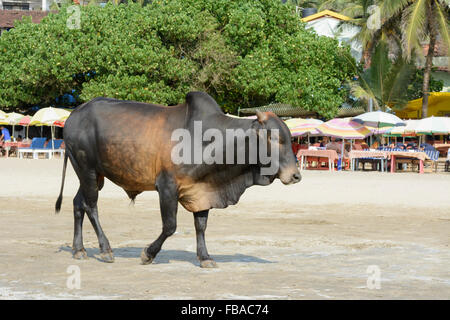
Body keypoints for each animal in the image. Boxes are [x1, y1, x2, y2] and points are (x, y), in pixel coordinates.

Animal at [56, 92, 302, 268]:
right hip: (87, 170)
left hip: (94, 176)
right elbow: (170, 226)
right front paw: (148, 254)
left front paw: (205, 257)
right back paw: (106, 250)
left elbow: (201, 226)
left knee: (78, 204)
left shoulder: (202, 189)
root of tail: (75, 114)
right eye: (276, 138)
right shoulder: (167, 187)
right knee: (91, 206)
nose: (296, 175)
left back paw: (79, 250)